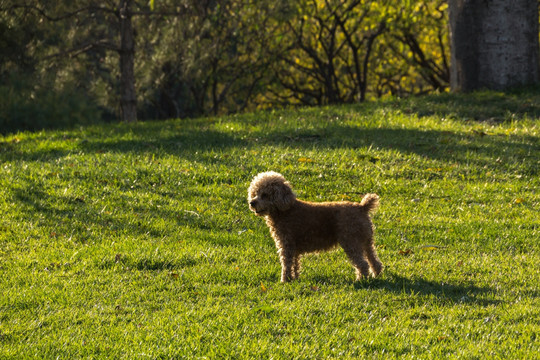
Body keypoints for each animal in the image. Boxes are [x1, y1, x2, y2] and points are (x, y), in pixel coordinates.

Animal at [249, 170, 384, 282]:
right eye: (255, 193)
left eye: (265, 195)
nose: (252, 202)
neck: (285, 210)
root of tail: (362, 207)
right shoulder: (294, 248)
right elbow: (295, 264)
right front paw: (295, 279)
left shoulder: (286, 245)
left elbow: (286, 264)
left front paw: (285, 280)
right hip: (366, 241)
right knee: (374, 260)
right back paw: (376, 275)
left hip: (351, 241)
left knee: (363, 263)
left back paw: (361, 280)